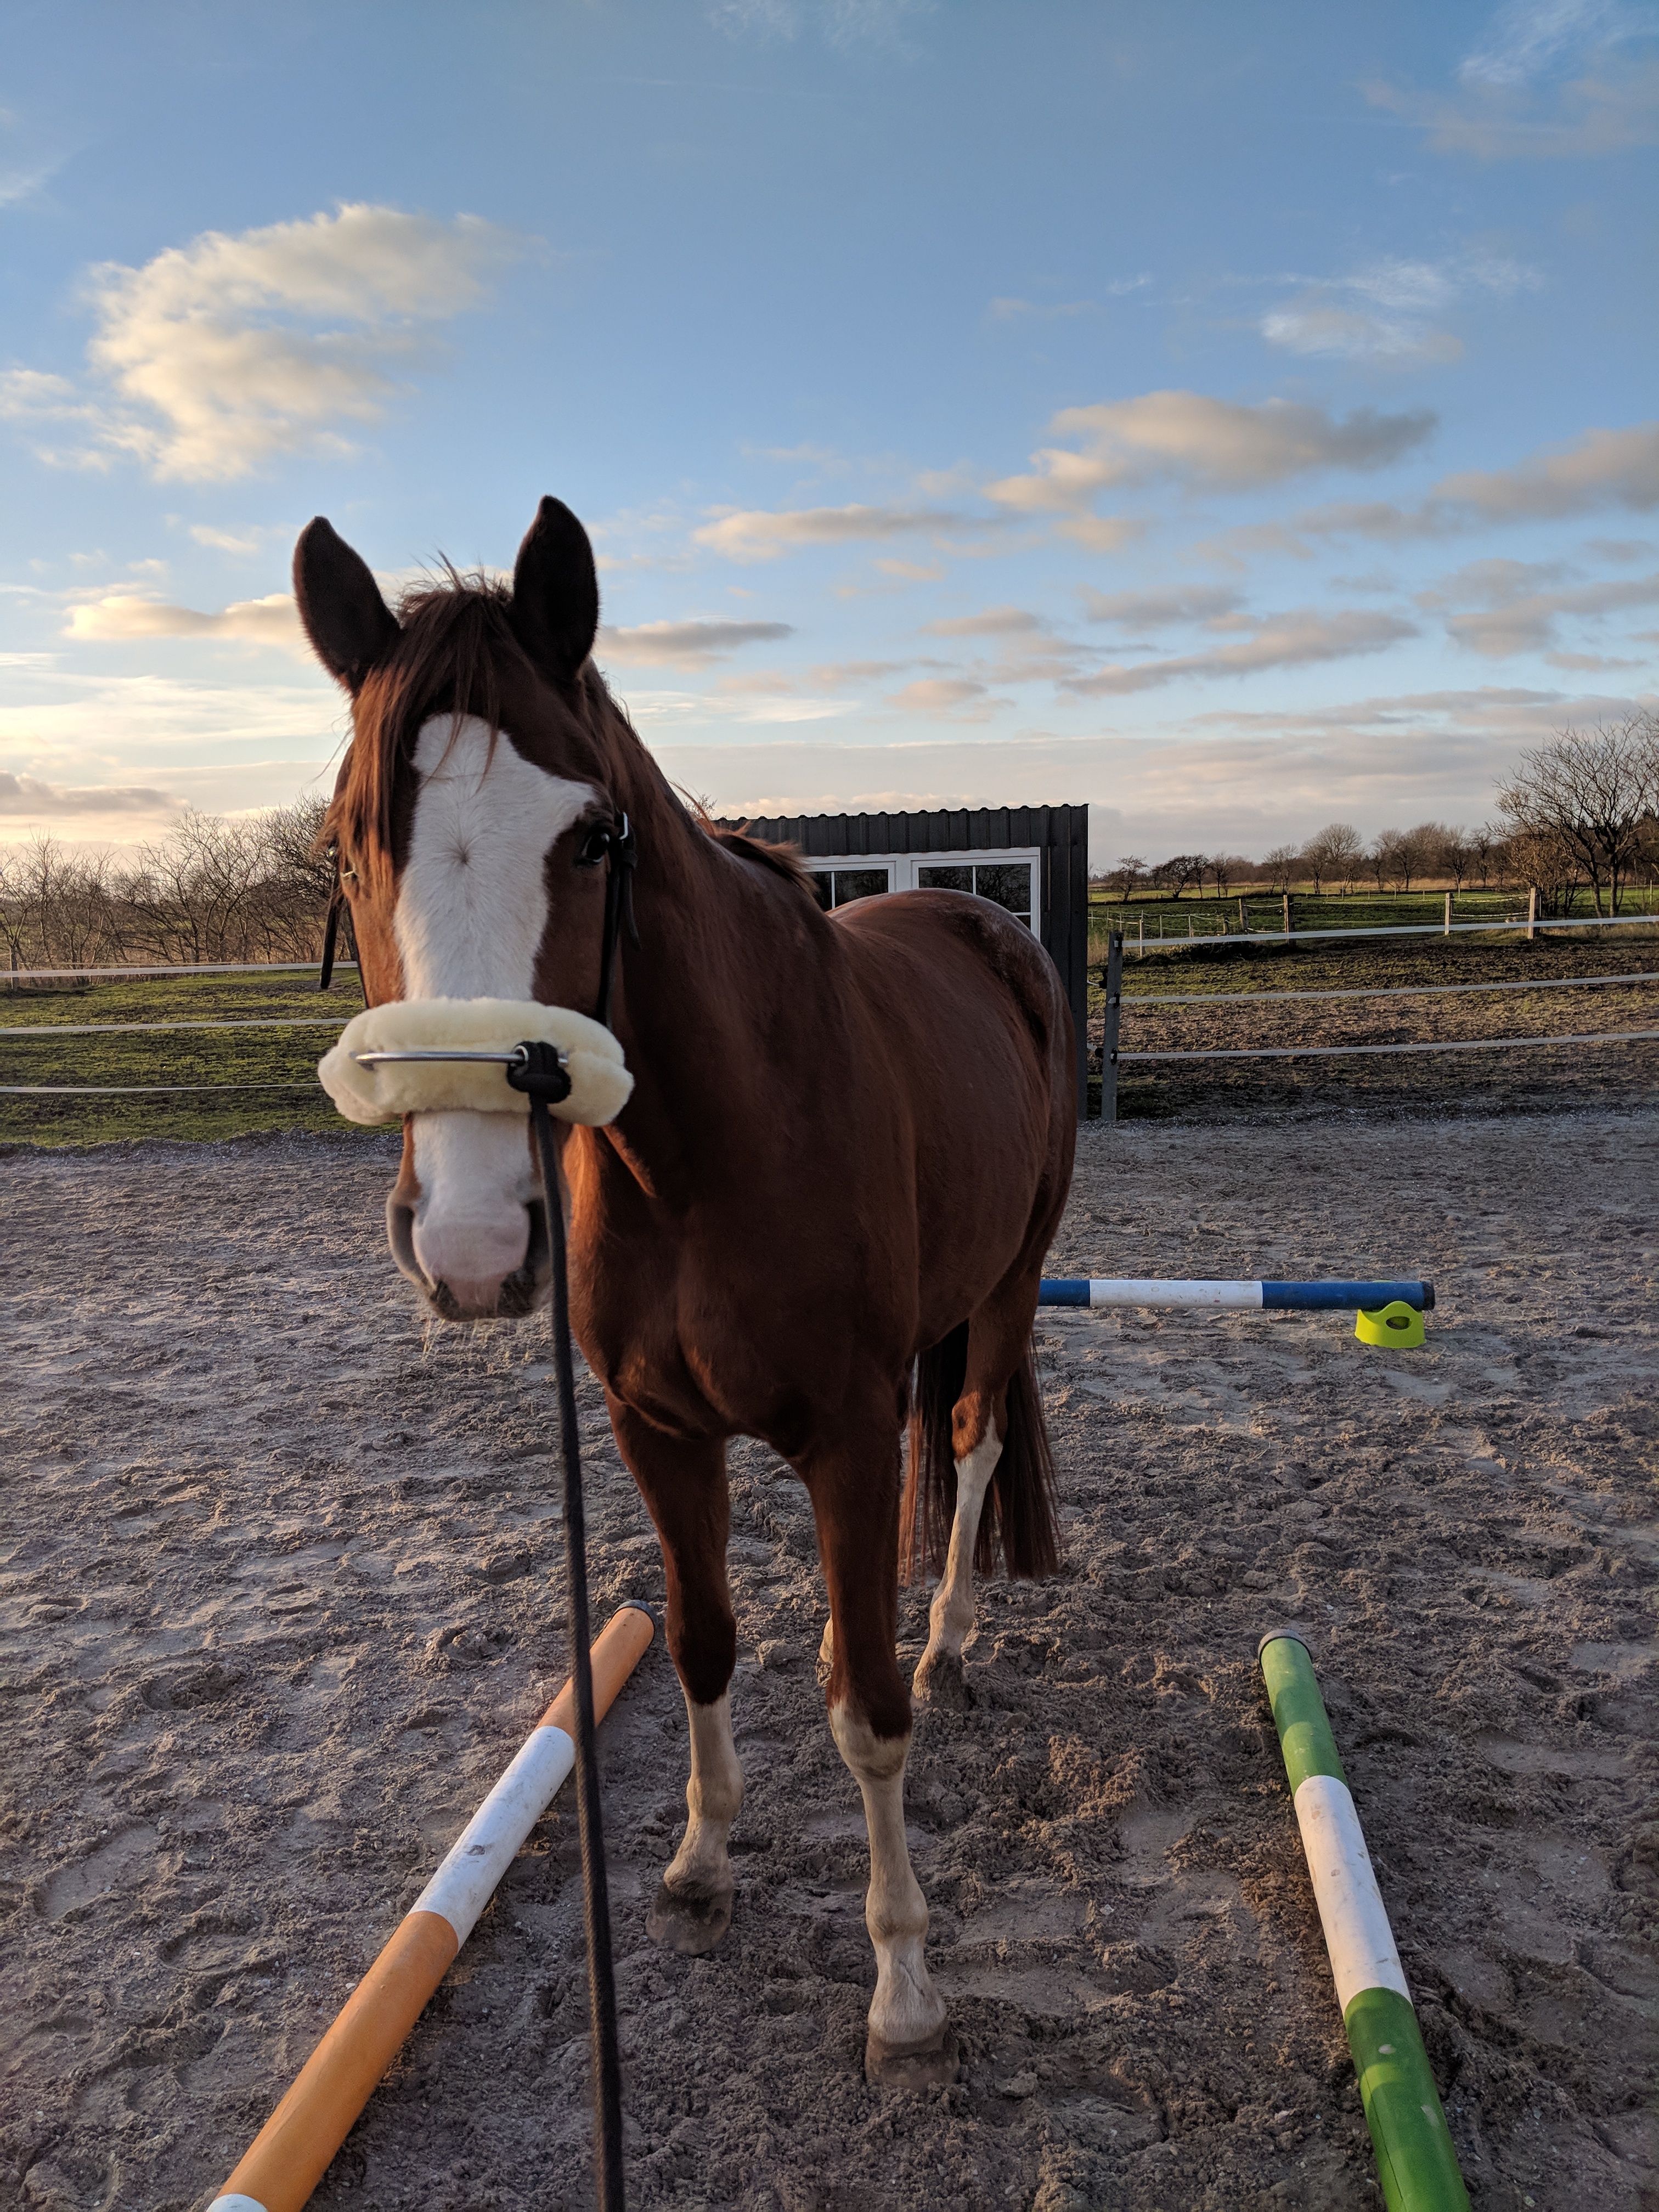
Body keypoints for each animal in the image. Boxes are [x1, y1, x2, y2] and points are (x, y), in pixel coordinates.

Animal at [296, 495, 1076, 2086]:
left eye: (594, 836)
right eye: (349, 845)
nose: (474, 1238)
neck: (709, 1154)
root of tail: (980, 923)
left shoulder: (846, 1440)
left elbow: (868, 1712)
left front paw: (904, 1982)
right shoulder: (654, 1431)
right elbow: (707, 1641)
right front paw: (705, 1863)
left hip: (1012, 1287)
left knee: (967, 1451)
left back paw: (955, 1638)